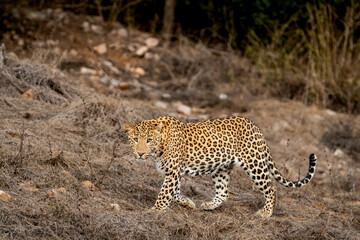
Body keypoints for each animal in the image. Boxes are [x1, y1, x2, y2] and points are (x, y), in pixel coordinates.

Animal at [122, 115, 316, 217]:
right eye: (135, 139)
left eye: (149, 140)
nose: (140, 153)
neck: (160, 145)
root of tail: (255, 127)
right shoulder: (174, 173)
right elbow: (174, 192)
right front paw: (188, 203)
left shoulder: (173, 172)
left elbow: (164, 193)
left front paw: (155, 210)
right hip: (221, 168)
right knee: (223, 192)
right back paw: (209, 205)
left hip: (254, 164)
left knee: (271, 188)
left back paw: (266, 213)